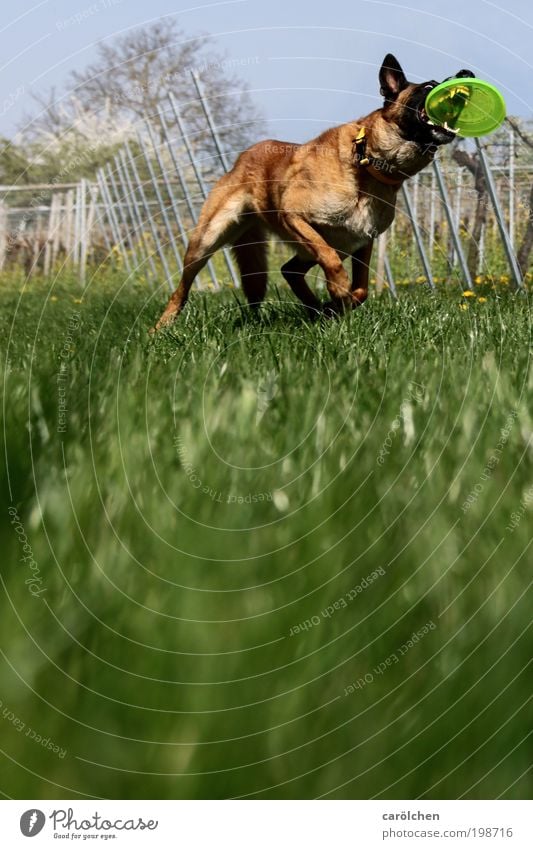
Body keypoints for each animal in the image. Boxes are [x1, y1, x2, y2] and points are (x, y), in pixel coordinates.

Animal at [152, 54, 472, 328]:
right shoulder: (295, 216)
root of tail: (244, 157)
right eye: (429, 86)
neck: (365, 161)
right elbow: (332, 264)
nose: (466, 72)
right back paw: (162, 327)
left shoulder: (362, 240)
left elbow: (362, 289)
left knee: (290, 270)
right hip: (206, 240)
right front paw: (338, 292)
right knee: (182, 289)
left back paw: (317, 309)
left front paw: (337, 305)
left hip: (328, 245)